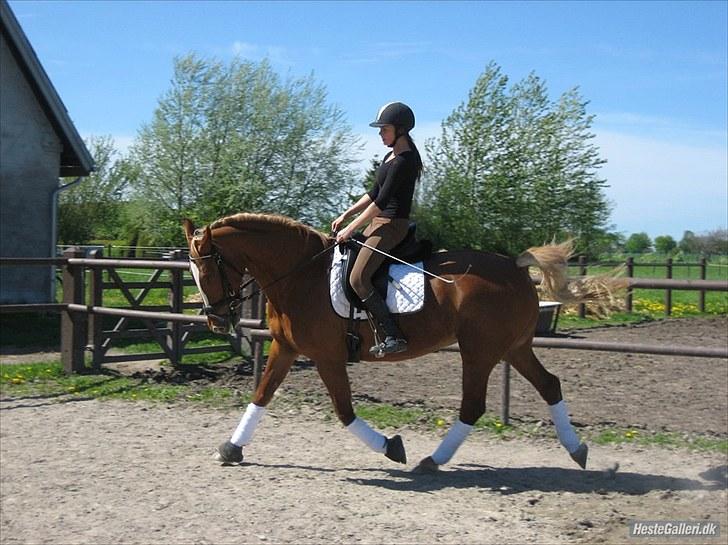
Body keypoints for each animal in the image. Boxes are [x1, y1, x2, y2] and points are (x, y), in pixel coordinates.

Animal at [185, 212, 600, 472]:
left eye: (207, 269)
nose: (216, 321)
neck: (301, 275)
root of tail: (514, 266)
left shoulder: (326, 356)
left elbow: (344, 411)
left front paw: (391, 447)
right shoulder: (284, 348)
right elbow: (261, 394)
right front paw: (231, 448)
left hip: (479, 352)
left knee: (473, 406)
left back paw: (432, 461)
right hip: (513, 348)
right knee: (549, 385)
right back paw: (577, 450)